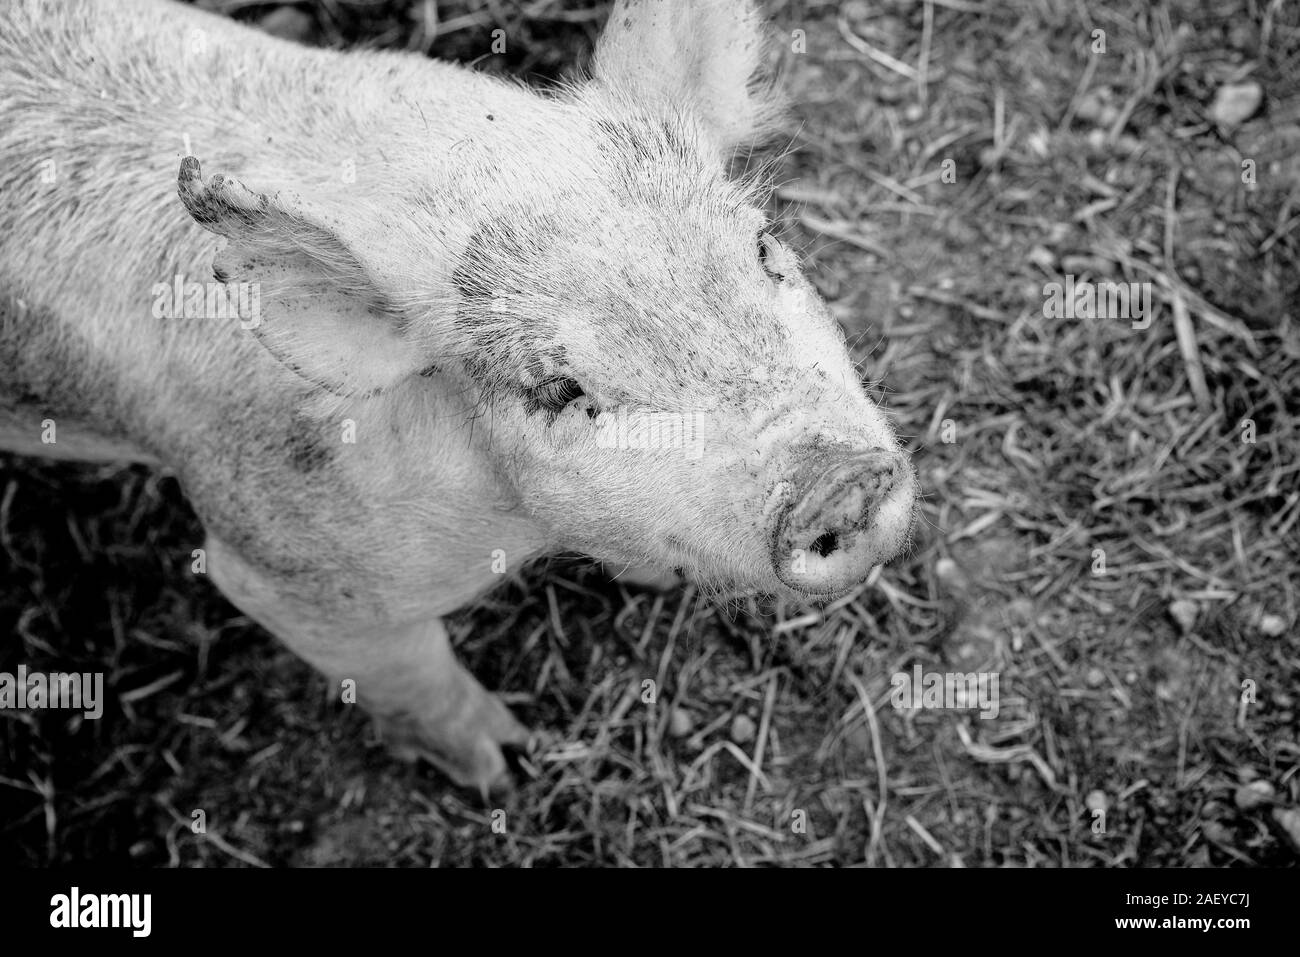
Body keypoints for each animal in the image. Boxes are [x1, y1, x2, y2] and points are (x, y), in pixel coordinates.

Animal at [0, 0, 920, 790]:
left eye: (763, 248)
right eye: (557, 389)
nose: (836, 482)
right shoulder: (275, 567)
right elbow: (409, 672)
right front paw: (509, 764)